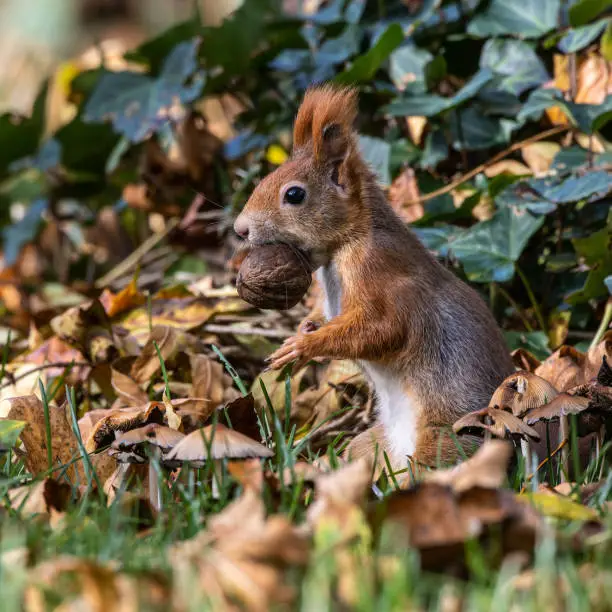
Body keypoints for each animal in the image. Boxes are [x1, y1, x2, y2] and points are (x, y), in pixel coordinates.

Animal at [234, 86, 516, 466]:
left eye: (294, 194)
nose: (240, 229)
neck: (347, 243)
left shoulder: (378, 271)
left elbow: (383, 329)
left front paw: (304, 346)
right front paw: (305, 327)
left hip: (446, 441)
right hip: (369, 446)